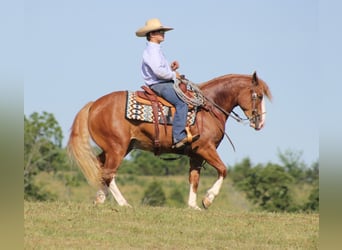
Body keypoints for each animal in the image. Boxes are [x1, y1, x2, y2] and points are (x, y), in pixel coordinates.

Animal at [67, 72, 272, 209]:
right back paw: (124, 203)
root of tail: (94, 104)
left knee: (100, 166)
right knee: (109, 173)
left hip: (119, 148)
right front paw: (207, 199)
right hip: (117, 148)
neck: (207, 108)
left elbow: (194, 178)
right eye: (259, 95)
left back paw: (100, 198)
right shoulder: (205, 148)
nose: (261, 123)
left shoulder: (196, 154)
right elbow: (223, 170)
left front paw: (193, 205)